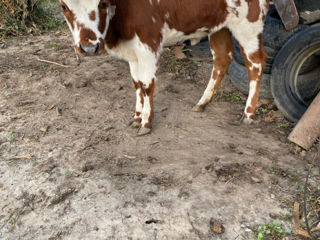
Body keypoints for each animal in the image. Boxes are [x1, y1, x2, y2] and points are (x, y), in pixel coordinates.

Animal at [58, 0, 268, 135]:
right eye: (63, 6)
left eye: (101, 4)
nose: (89, 48)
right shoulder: (132, 50)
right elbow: (136, 83)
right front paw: (137, 116)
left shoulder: (148, 43)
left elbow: (147, 85)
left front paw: (146, 122)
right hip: (219, 25)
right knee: (223, 57)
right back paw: (203, 102)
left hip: (248, 24)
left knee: (256, 62)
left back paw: (248, 113)